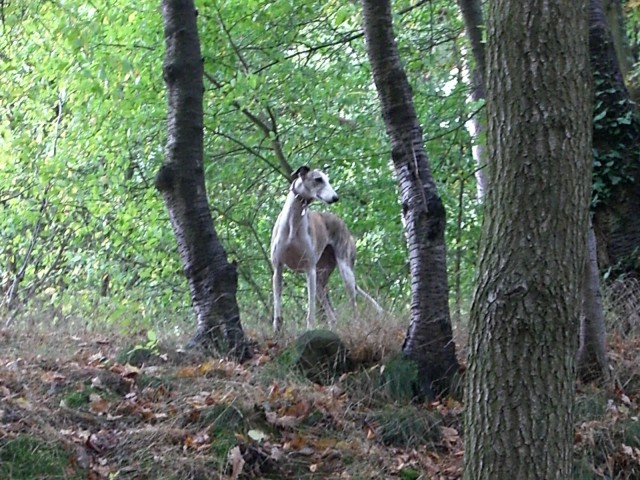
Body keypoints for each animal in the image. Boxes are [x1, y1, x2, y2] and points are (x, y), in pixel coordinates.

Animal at [270, 165, 382, 332]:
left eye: (328, 180)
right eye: (318, 179)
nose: (335, 198)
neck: (293, 223)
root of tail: (343, 224)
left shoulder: (309, 269)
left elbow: (310, 311)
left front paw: (309, 330)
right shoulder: (278, 268)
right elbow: (277, 308)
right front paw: (277, 331)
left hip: (345, 271)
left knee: (353, 304)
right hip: (321, 280)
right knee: (332, 315)